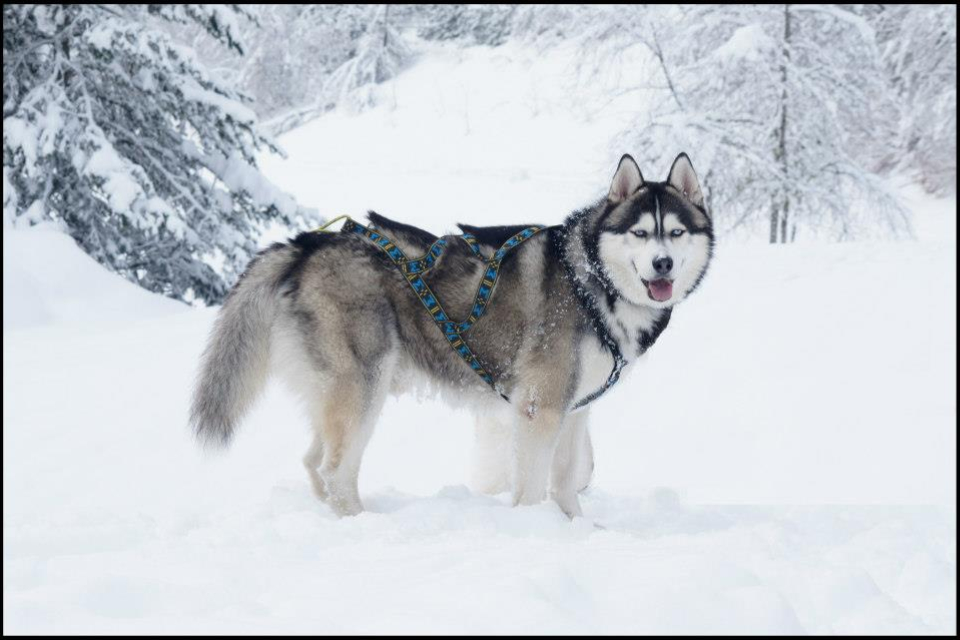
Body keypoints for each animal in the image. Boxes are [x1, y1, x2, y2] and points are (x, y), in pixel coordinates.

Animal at [191, 152, 712, 516]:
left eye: (677, 233)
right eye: (640, 233)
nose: (662, 264)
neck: (592, 282)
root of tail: (307, 244)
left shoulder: (576, 408)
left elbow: (570, 477)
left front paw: (577, 528)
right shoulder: (539, 406)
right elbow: (531, 483)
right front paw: (535, 529)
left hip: (338, 389)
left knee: (313, 461)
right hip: (364, 386)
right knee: (335, 469)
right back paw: (363, 523)